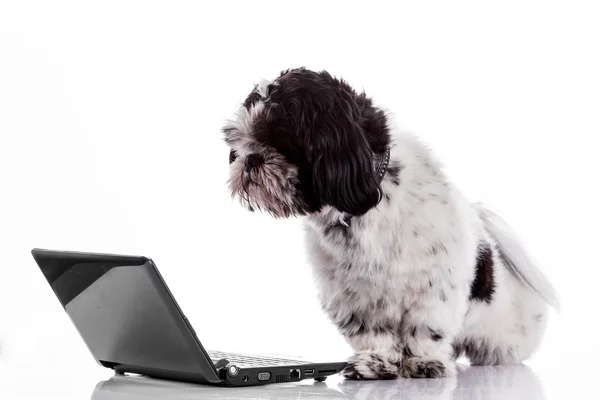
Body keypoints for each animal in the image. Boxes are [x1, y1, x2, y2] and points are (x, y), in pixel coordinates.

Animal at [223, 67, 560, 380]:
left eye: (280, 138)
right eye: (238, 144)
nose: (250, 160)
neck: (364, 210)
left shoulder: (434, 287)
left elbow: (425, 329)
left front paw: (425, 362)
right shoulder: (353, 298)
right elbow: (373, 334)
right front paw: (375, 363)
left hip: (503, 340)